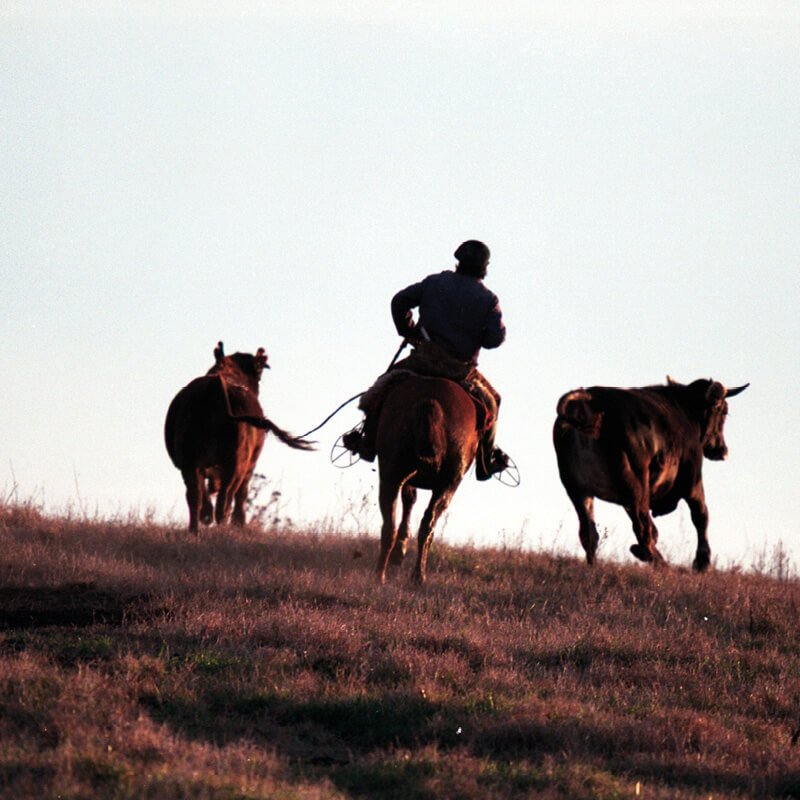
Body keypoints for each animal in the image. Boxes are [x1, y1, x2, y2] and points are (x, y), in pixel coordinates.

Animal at [163, 342, 312, 536]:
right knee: (225, 499)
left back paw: (195, 530)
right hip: (235, 463)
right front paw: (239, 523)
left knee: (196, 496)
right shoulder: (249, 465)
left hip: (190, 461)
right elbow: (241, 494)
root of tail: (215, 386)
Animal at [372, 372, 478, 584]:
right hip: (446, 485)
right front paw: (400, 552)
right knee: (425, 526)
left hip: (392, 477)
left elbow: (408, 501)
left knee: (393, 525)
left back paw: (384, 575)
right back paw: (415, 575)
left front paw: (400, 551)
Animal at [552, 376, 748, 568]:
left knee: (589, 533)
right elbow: (701, 515)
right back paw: (660, 562)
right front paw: (702, 561)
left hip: (578, 490)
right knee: (642, 528)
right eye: (723, 412)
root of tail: (586, 398)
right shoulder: (692, 478)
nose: (722, 450)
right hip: (636, 486)